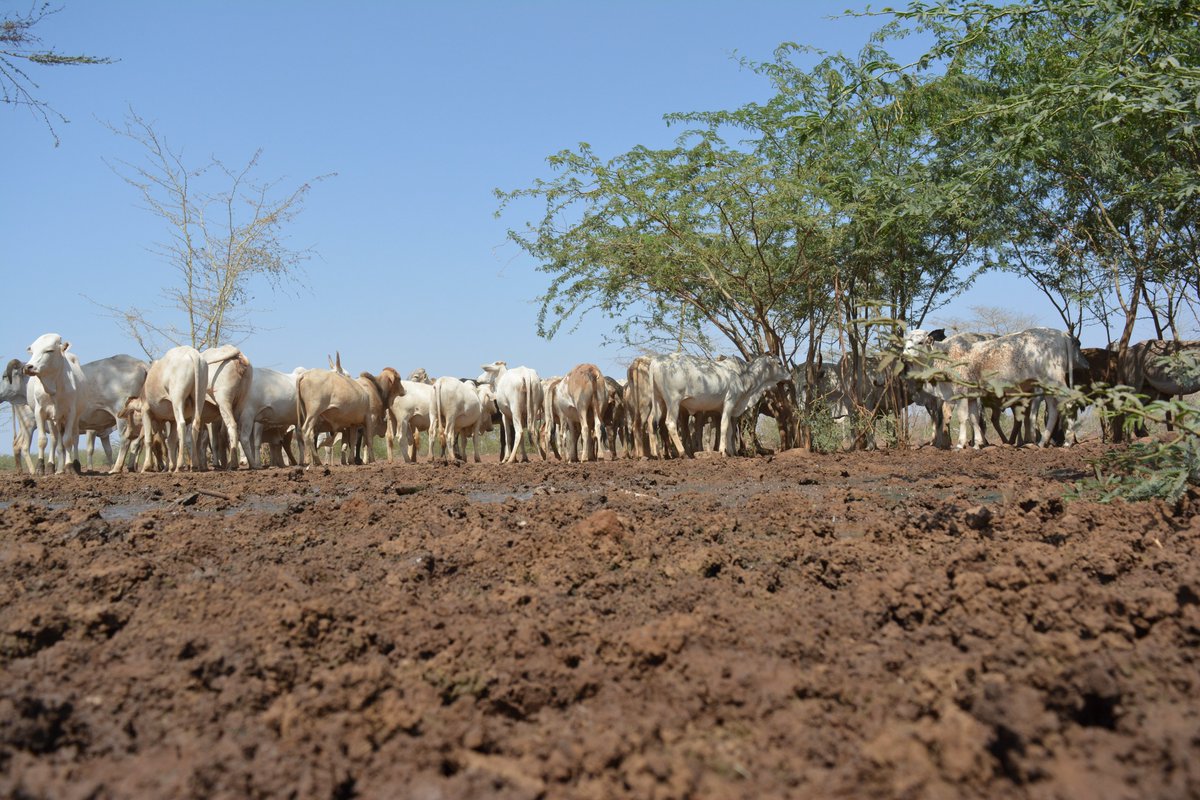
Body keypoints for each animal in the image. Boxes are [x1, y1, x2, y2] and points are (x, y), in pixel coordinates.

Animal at [24, 333, 88, 474]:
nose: (28, 367)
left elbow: (68, 440)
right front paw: (40, 467)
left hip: (75, 417)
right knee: (54, 440)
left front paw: (69, 466)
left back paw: (75, 464)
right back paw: (52, 466)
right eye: (33, 350)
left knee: (74, 438)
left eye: (49, 350)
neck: (53, 386)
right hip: (52, 420)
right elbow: (43, 440)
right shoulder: (40, 412)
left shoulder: (70, 413)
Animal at [647, 353, 791, 458]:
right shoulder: (729, 402)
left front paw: (731, 453)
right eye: (779, 363)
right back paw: (683, 453)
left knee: (652, 422)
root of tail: (657, 361)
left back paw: (657, 455)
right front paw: (723, 451)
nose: (789, 376)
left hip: (659, 401)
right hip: (673, 402)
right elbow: (724, 426)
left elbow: (730, 431)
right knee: (670, 423)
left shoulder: (724, 410)